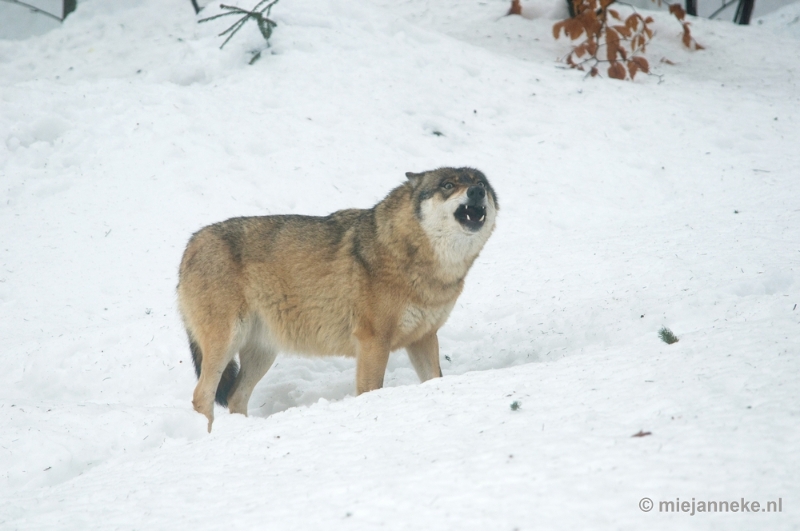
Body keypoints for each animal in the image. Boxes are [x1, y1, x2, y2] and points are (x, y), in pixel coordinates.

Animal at [178, 167, 496, 432]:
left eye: (480, 183)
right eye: (448, 185)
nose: (476, 192)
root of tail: (191, 242)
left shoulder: (424, 338)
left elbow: (435, 378)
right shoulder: (373, 342)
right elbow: (371, 389)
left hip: (262, 353)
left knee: (235, 396)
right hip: (226, 343)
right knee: (201, 397)